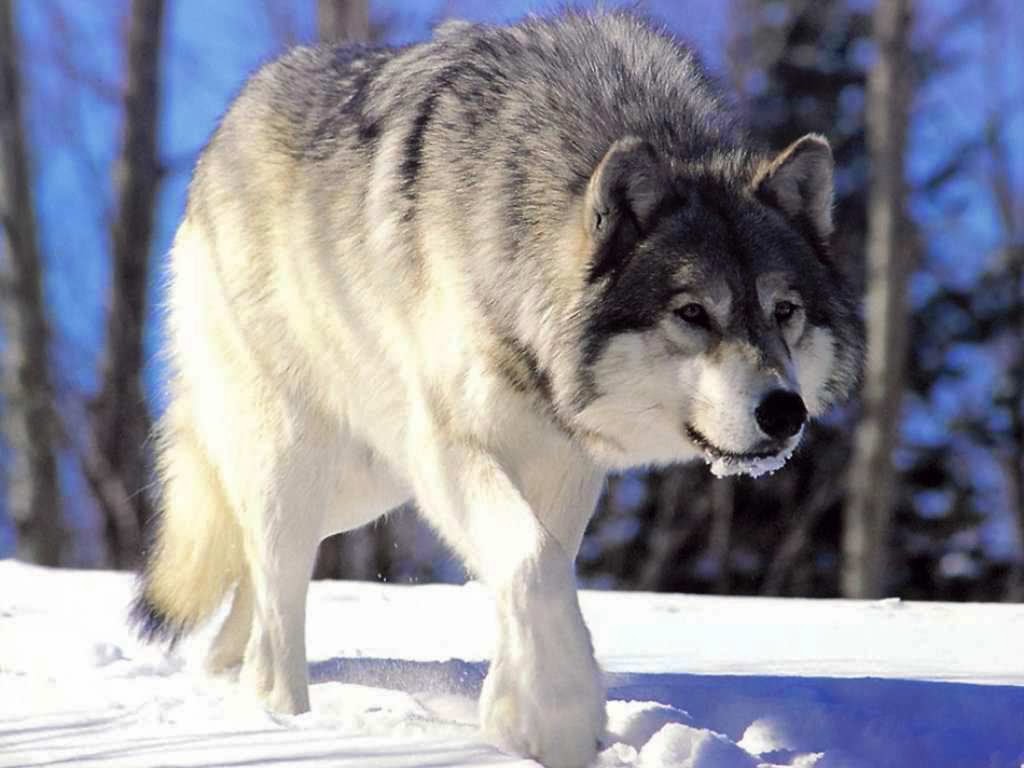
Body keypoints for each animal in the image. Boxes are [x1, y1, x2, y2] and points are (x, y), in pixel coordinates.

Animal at [132, 12, 860, 768]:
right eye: (693, 313)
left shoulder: (565, 462)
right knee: (275, 600)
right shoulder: (449, 445)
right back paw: (285, 718)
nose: (785, 412)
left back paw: (224, 674)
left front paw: (518, 709)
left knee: (250, 574)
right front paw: (558, 717)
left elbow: (543, 566)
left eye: (784, 311)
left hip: (363, 488)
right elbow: (533, 560)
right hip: (303, 464)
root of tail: (225, 130)